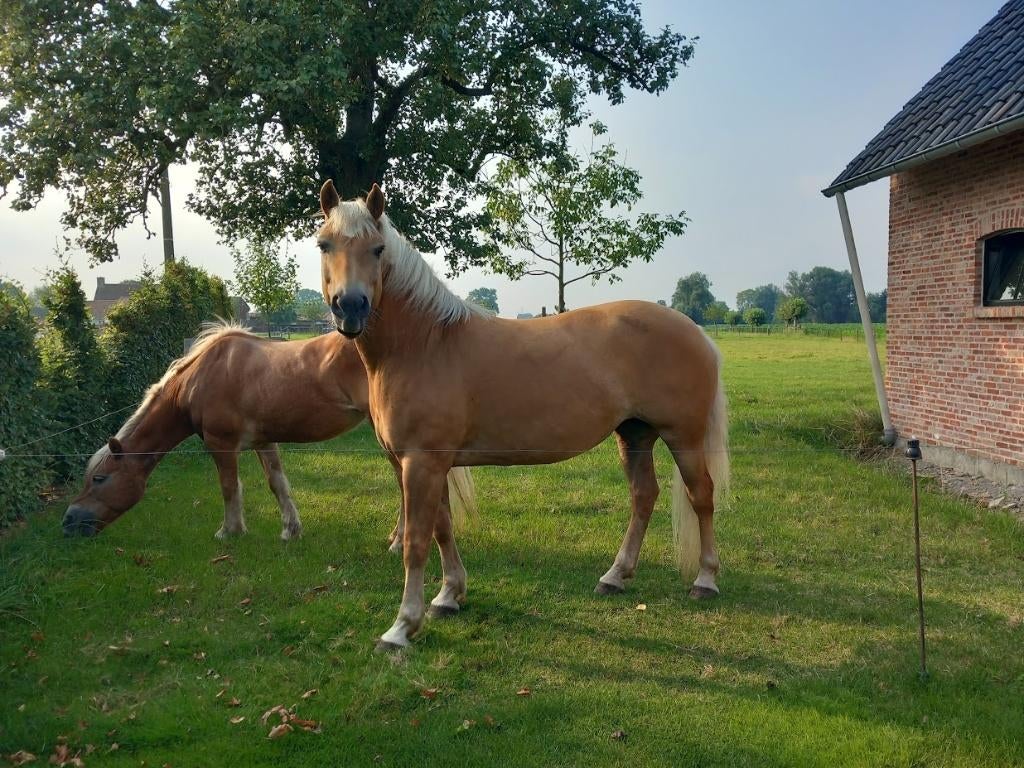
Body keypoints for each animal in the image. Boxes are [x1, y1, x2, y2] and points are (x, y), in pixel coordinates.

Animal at [63, 322, 475, 542]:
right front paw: (291, 529)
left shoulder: (222, 445)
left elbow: (230, 488)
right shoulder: (265, 442)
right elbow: (278, 484)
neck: (201, 379)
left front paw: (230, 531)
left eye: (99, 478)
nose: (69, 521)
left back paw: (399, 539)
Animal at [316, 180, 730, 651]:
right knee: (644, 496)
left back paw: (705, 580)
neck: (425, 344)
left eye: (378, 248)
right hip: (635, 434)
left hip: (684, 437)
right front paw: (448, 596)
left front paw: (402, 626)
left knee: (701, 495)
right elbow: (442, 529)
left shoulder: (421, 463)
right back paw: (614, 577)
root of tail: (696, 330)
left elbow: (417, 542)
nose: (350, 307)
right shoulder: (431, 463)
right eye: (324, 244)